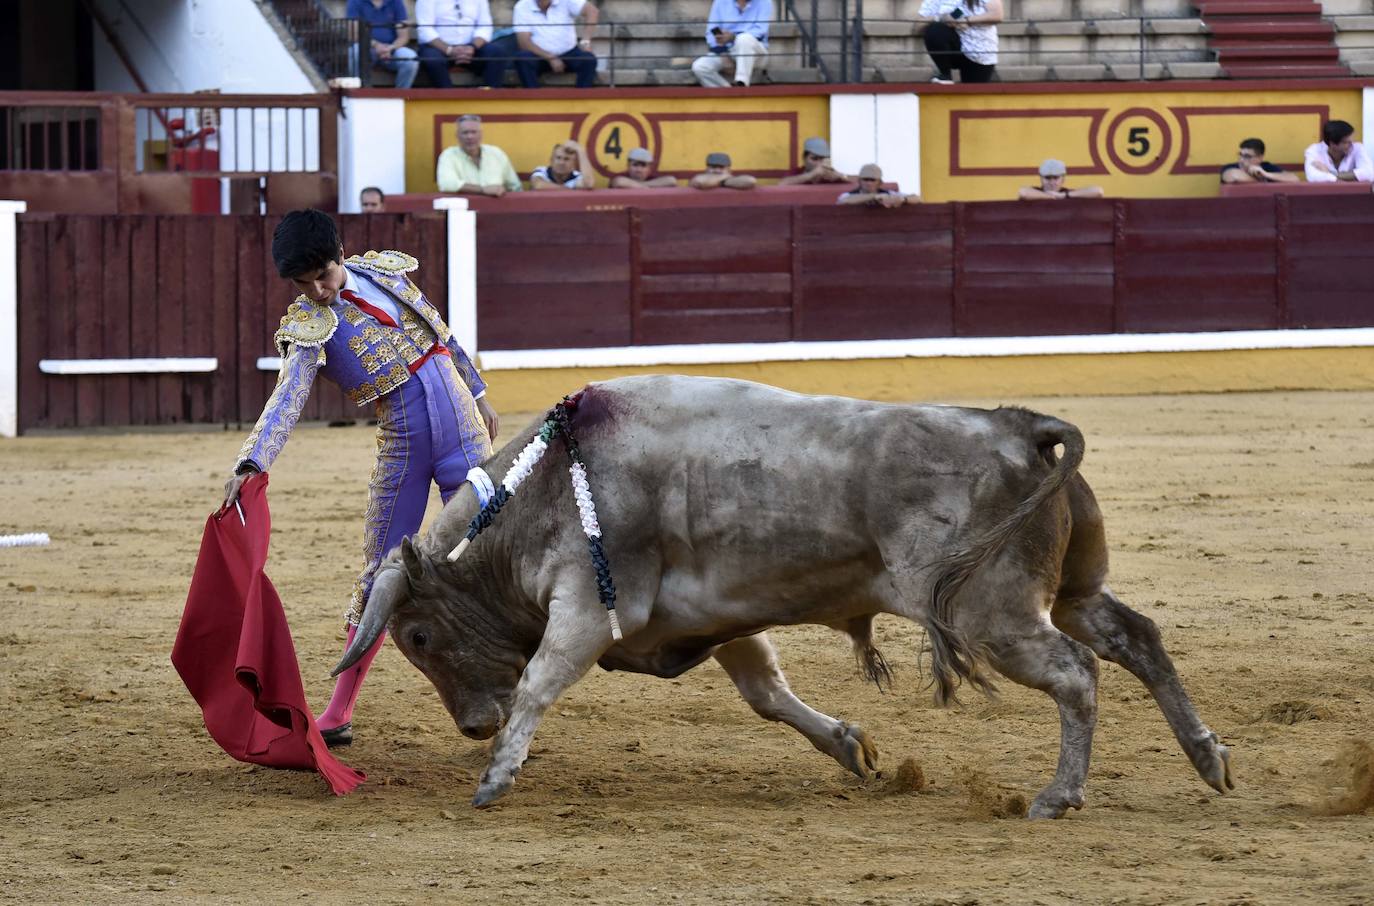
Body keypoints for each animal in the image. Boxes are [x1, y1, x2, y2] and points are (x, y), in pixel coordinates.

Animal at [335, 373, 1236, 813]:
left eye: (418, 638)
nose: (470, 726)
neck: (550, 479)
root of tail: (1019, 427)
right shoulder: (719, 617)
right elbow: (767, 693)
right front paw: (850, 748)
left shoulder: (591, 606)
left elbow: (539, 682)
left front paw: (495, 778)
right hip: (1072, 588)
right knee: (1136, 639)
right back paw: (1209, 759)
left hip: (994, 613)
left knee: (1077, 674)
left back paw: (1058, 796)